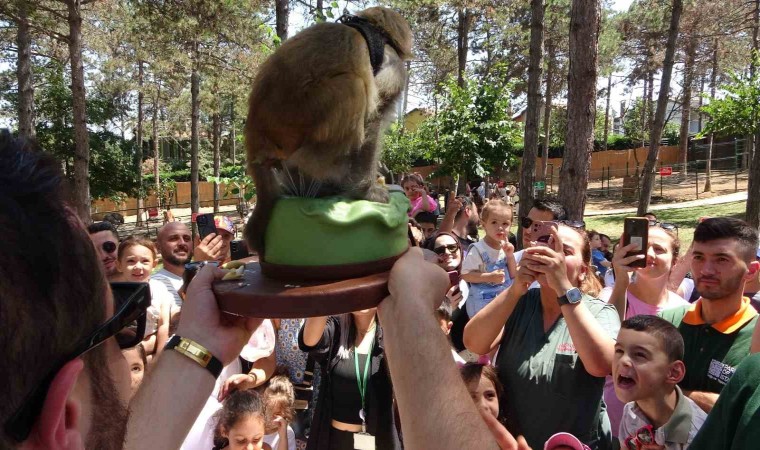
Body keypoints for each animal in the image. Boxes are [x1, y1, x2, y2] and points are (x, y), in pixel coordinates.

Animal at [245, 7, 412, 258]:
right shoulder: (394, 67)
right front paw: (366, 192)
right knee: (355, 86)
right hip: (301, 115)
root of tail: (254, 134)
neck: (375, 29)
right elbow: (373, 119)